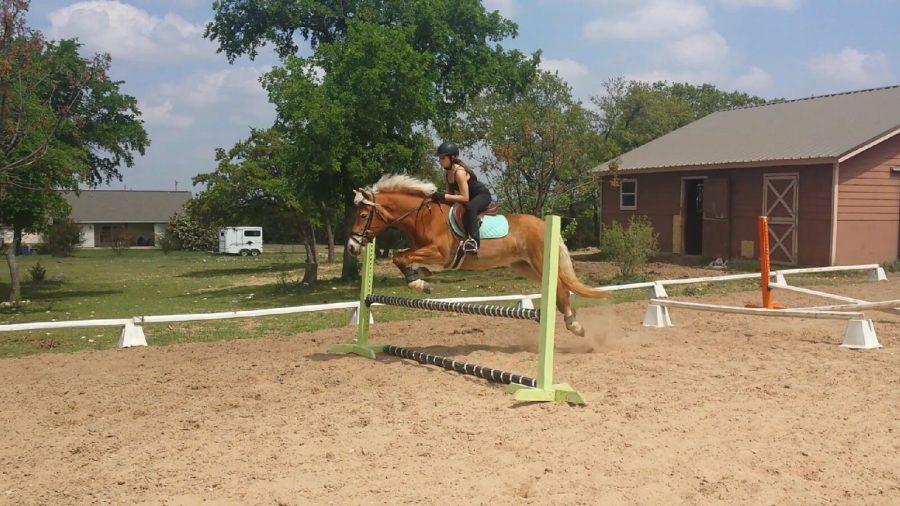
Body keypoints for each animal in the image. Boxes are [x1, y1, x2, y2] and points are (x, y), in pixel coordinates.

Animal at [346, 174, 612, 336]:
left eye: (363, 215)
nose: (351, 247)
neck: (422, 215)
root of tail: (543, 223)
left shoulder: (441, 252)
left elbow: (400, 257)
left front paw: (420, 283)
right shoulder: (424, 251)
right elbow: (403, 257)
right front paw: (422, 276)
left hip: (539, 262)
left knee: (560, 287)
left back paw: (574, 324)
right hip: (525, 266)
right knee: (559, 289)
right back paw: (572, 321)